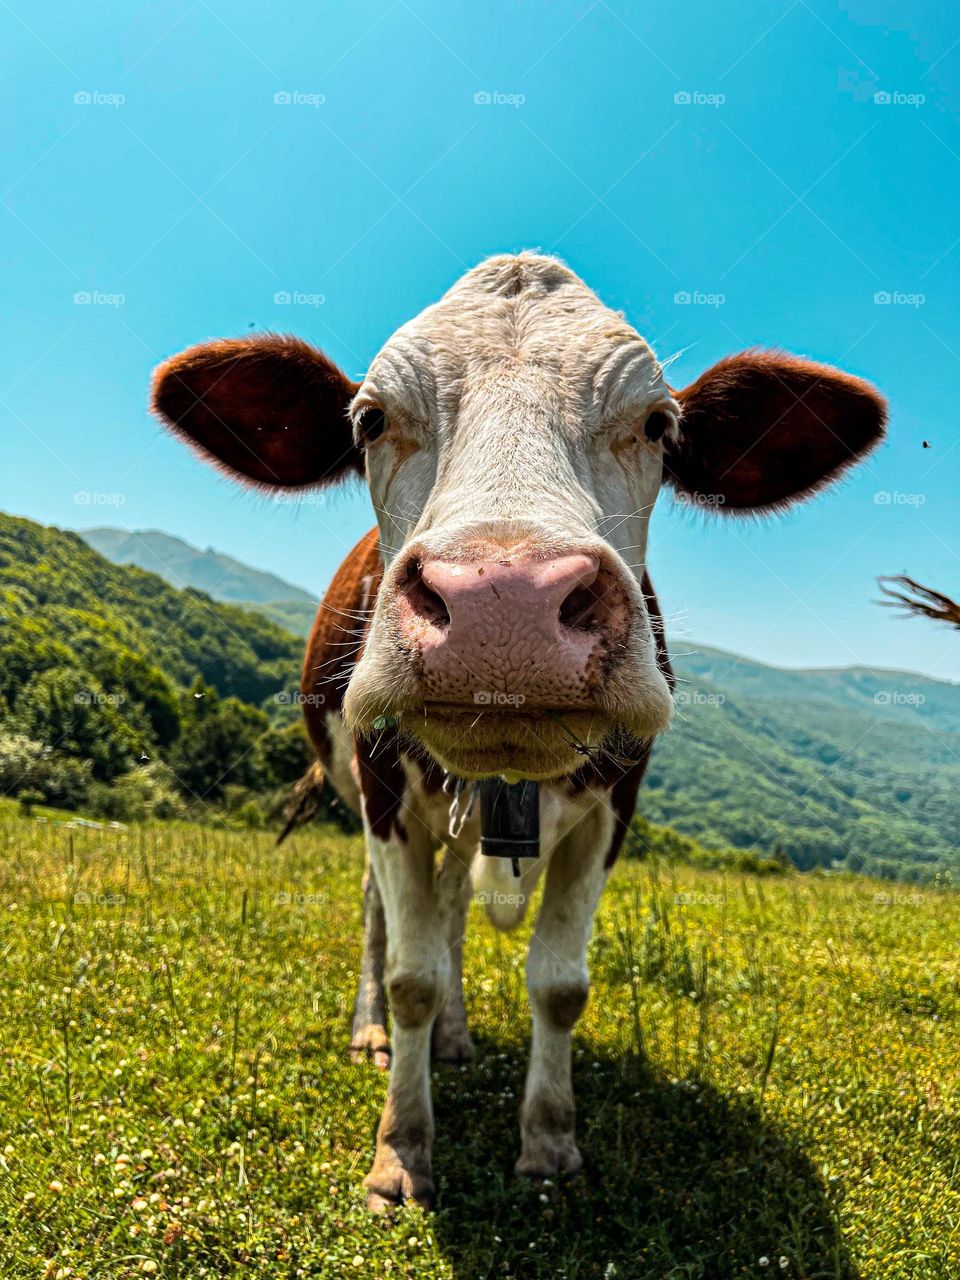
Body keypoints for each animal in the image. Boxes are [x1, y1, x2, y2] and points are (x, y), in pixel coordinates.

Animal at [151, 252, 886, 1210]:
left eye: (658, 426)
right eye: (370, 420)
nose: (504, 604)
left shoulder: (617, 802)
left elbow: (558, 984)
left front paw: (549, 1143)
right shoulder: (382, 788)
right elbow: (411, 973)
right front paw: (401, 1149)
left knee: (453, 904)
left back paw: (459, 1037)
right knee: (384, 914)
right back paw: (372, 1030)